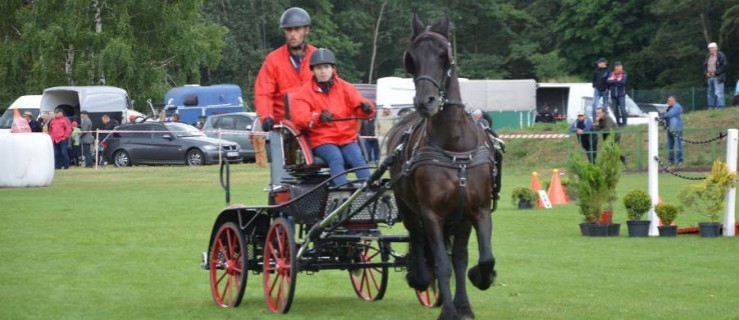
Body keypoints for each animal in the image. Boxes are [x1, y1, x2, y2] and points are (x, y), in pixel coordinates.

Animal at [388, 13, 498, 320]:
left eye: (443, 55)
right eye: (411, 58)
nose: (425, 102)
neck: (454, 145)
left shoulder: (477, 210)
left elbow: (480, 258)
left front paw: (477, 283)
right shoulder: (432, 214)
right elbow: (441, 262)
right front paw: (448, 310)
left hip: (458, 218)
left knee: (457, 255)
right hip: (408, 208)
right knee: (418, 241)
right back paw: (420, 277)